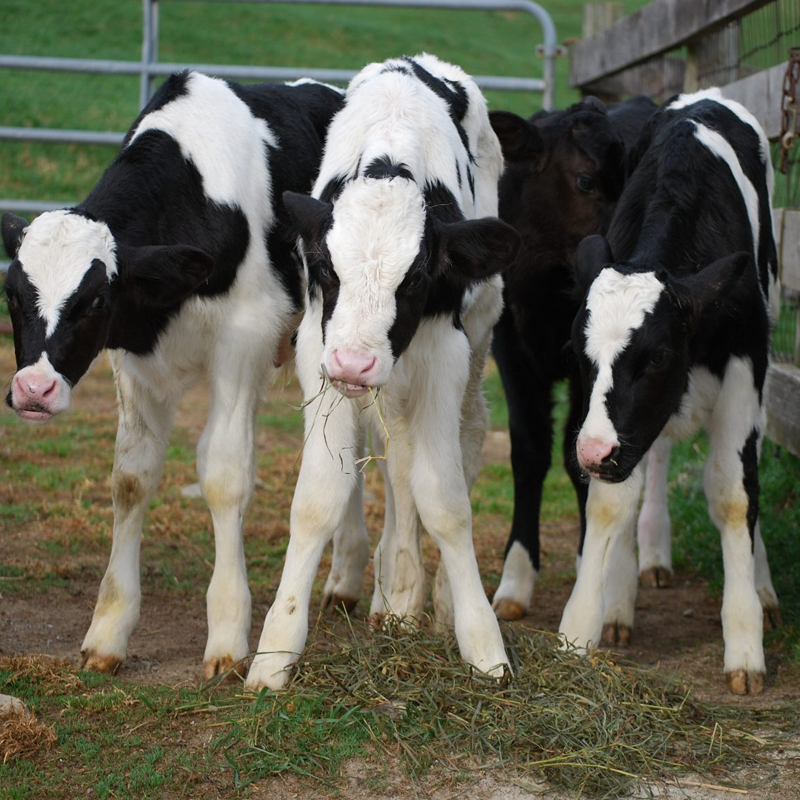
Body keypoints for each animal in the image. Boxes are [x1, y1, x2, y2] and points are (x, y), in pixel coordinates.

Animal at [0, 72, 344, 680]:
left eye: (94, 300)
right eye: (12, 294)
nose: (33, 390)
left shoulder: (244, 338)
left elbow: (225, 476)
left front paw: (228, 634)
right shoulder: (134, 359)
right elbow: (131, 478)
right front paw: (108, 631)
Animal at [247, 53, 520, 692]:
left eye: (416, 278)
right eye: (324, 267)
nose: (355, 361)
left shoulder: (444, 356)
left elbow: (444, 499)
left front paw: (481, 640)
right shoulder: (319, 351)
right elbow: (318, 498)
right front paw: (276, 648)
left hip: (473, 347)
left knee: (462, 443)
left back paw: (431, 599)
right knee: (397, 465)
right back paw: (395, 594)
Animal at [560, 89, 780, 692]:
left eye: (655, 357)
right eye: (579, 353)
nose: (591, 453)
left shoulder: (744, 365)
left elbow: (734, 493)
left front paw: (745, 643)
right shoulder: (618, 430)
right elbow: (612, 502)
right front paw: (585, 623)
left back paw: (763, 586)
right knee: (650, 465)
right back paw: (638, 574)